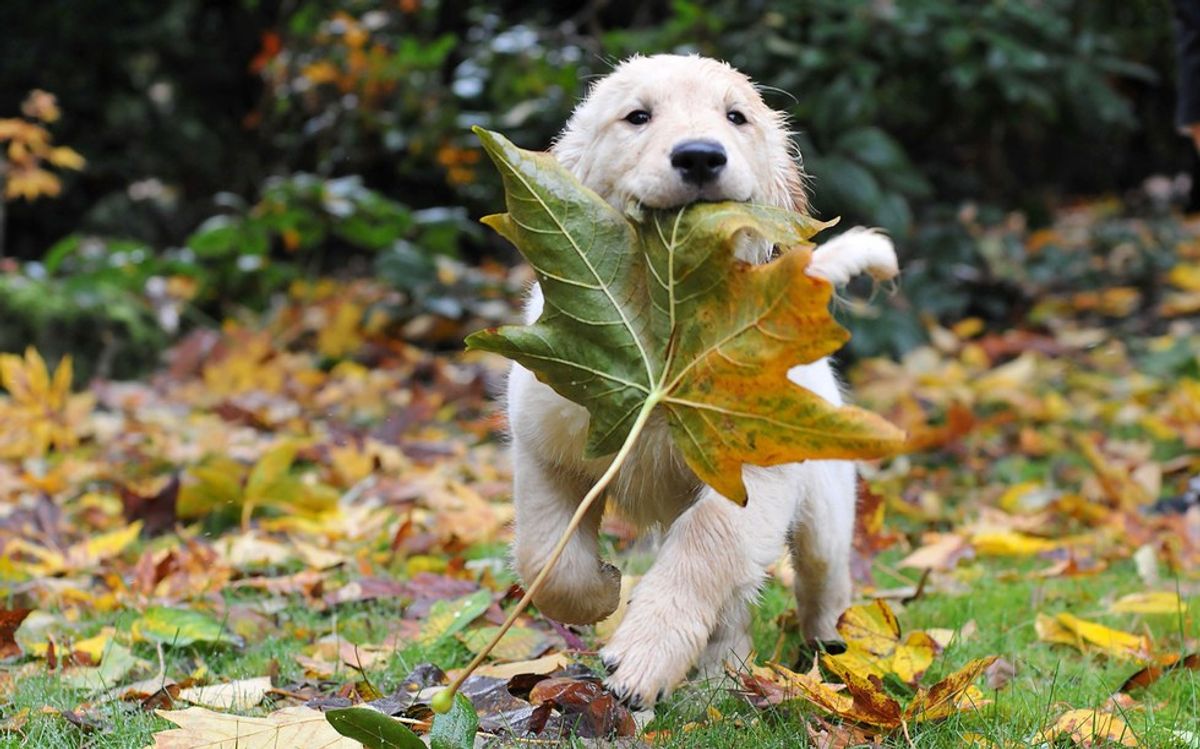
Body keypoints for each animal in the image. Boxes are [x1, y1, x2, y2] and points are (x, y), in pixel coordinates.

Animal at [501, 52, 897, 705]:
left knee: (820, 579)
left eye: (736, 117)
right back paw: (721, 674)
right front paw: (601, 592)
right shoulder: (546, 447)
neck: (668, 322)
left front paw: (643, 654)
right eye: (637, 116)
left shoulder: (752, 474)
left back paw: (827, 651)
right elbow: (547, 556)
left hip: (825, 505)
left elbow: (706, 544)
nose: (700, 156)